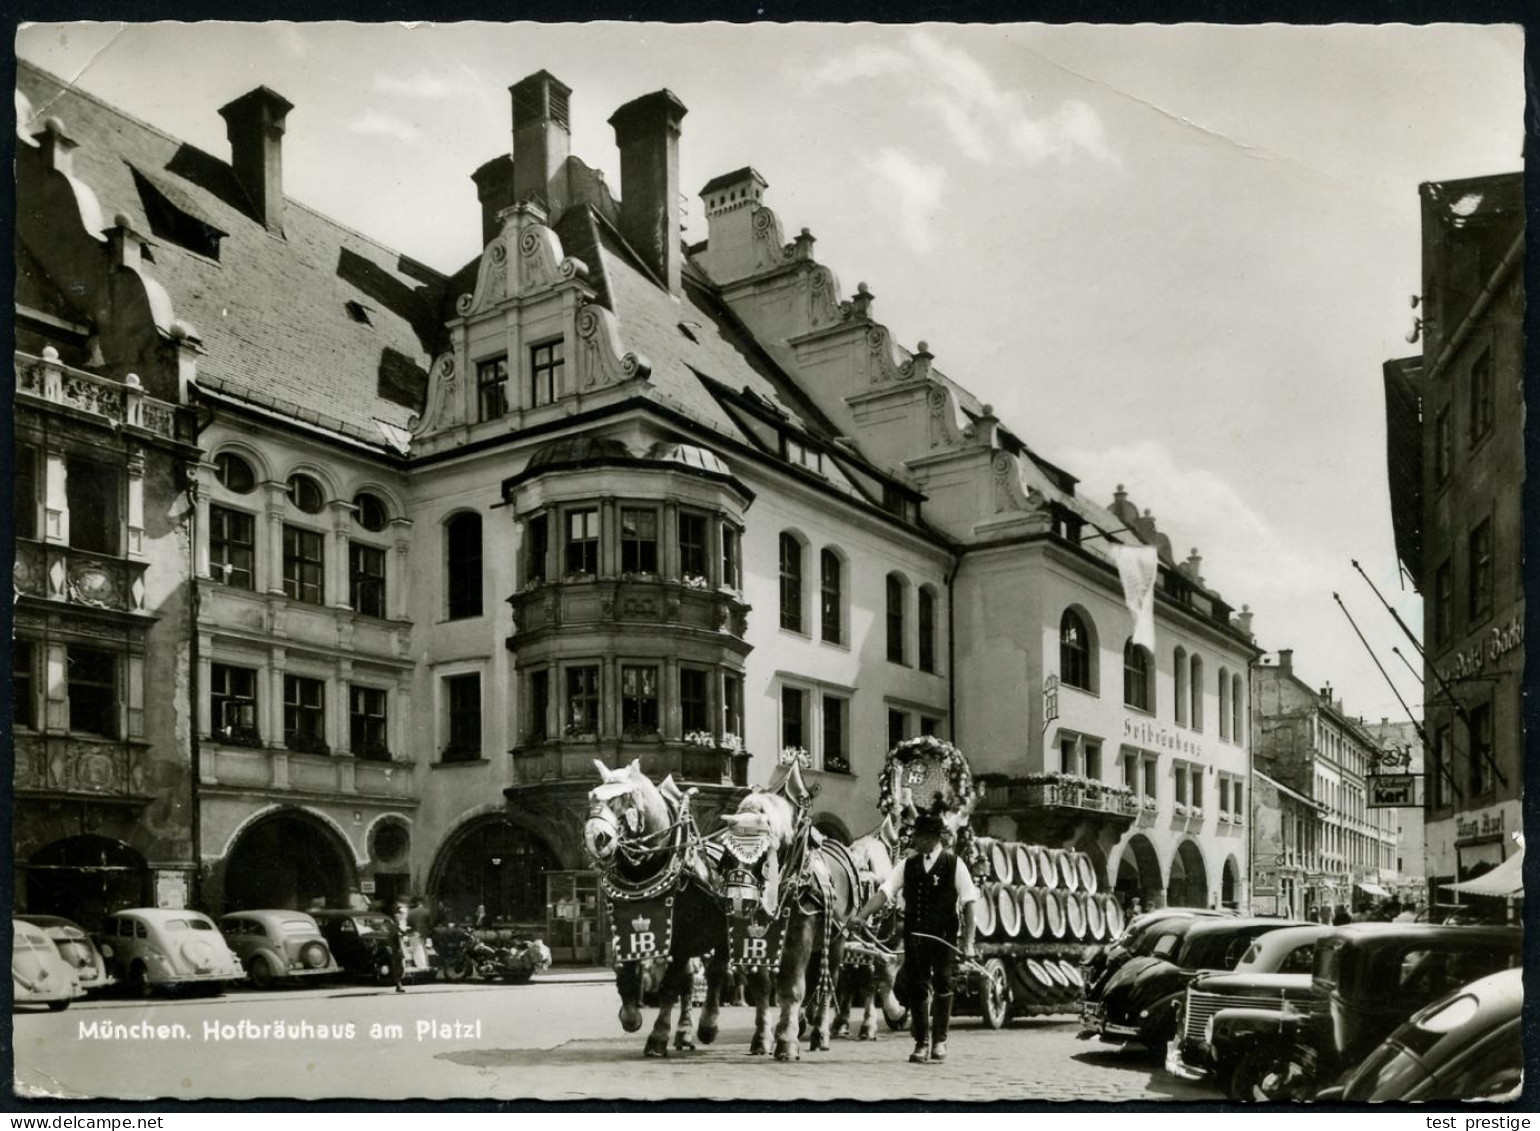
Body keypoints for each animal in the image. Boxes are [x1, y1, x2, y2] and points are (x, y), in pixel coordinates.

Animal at [588, 761, 733, 1060]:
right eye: (592, 796)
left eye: (624, 797)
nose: (594, 836)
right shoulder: (625, 928)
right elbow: (624, 972)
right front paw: (630, 1015)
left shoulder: (680, 938)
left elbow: (668, 986)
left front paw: (657, 1037)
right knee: (690, 981)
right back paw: (684, 1032)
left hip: (721, 933)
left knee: (716, 972)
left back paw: (707, 1026)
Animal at [714, 761, 862, 1060]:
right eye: (728, 852)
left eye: (761, 854)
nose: (739, 899)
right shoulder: (755, 939)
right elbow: (762, 988)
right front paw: (762, 1039)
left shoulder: (799, 932)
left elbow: (791, 986)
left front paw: (786, 1042)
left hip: (837, 938)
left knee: (828, 980)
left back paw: (820, 1034)